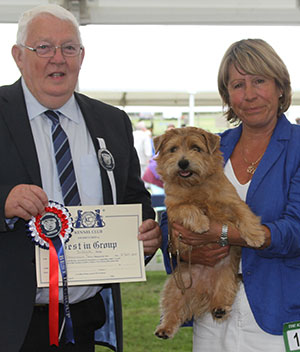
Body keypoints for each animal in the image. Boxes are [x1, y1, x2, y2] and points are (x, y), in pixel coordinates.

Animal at [154, 126, 264, 338]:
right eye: (173, 149)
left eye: (196, 148)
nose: (183, 162)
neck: (195, 185)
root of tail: (201, 289)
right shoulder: (173, 209)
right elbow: (187, 207)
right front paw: (200, 222)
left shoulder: (232, 201)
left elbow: (245, 214)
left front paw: (256, 235)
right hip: (176, 286)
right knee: (172, 310)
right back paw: (164, 329)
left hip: (225, 278)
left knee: (222, 295)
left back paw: (219, 309)